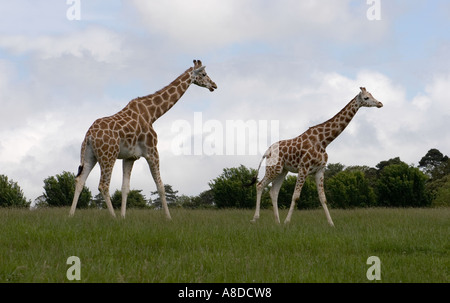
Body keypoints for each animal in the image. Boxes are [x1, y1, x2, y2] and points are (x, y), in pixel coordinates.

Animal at [69, 60, 217, 220]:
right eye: (204, 74)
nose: (214, 85)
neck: (153, 114)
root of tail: (89, 135)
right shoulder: (152, 151)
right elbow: (160, 186)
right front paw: (169, 218)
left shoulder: (129, 157)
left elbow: (125, 188)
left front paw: (123, 217)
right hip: (108, 155)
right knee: (103, 185)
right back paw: (113, 217)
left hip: (90, 155)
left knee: (80, 181)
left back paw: (71, 215)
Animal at [248, 87, 382, 226]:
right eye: (366, 98)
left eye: (372, 94)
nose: (380, 103)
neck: (323, 141)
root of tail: (267, 151)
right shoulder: (304, 168)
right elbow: (296, 196)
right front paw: (287, 222)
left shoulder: (320, 170)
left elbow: (323, 198)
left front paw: (331, 224)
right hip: (274, 168)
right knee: (259, 185)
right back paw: (256, 218)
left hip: (282, 170)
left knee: (273, 191)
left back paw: (277, 222)